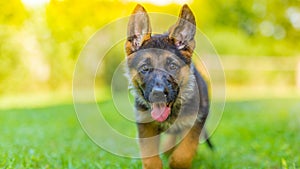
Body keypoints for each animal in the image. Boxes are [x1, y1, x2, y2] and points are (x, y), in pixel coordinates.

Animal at [124, 3, 209, 169]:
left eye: (172, 66)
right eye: (145, 68)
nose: (158, 93)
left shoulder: (195, 121)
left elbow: (184, 152)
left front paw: (177, 162)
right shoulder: (145, 125)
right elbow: (150, 159)